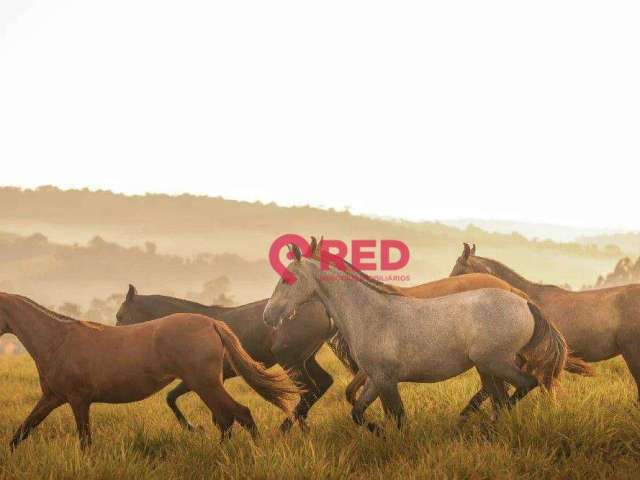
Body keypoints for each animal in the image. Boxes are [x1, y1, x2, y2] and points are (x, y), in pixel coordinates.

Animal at [0, 292, 300, 450]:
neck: (57, 340)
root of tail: (212, 324)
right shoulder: (52, 398)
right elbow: (21, 432)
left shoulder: (78, 400)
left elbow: (85, 440)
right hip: (205, 385)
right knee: (227, 418)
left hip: (205, 384)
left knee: (239, 414)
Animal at [116, 286, 336, 434]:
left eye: (120, 315)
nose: (119, 338)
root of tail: (322, 309)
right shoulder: (205, 380)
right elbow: (174, 398)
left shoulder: (198, 379)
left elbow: (173, 399)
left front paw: (193, 428)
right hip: (306, 360)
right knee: (322, 384)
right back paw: (301, 427)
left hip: (290, 361)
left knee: (310, 389)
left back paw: (285, 428)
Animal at [262, 244, 568, 432]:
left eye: (287, 279)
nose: (268, 316)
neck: (370, 312)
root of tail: (525, 302)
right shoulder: (375, 379)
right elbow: (358, 412)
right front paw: (378, 431)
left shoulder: (386, 381)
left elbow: (398, 418)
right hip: (487, 368)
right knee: (502, 398)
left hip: (496, 364)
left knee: (525, 385)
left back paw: (488, 424)